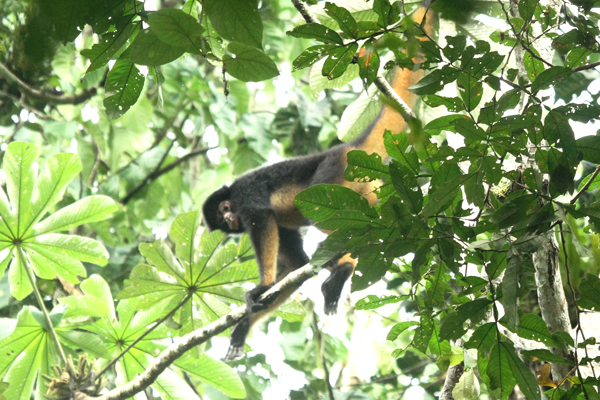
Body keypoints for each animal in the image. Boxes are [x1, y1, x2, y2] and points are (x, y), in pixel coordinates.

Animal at [204, 7, 434, 360]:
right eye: (221, 218)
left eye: (227, 208)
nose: (229, 218)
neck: (233, 194)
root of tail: (347, 147)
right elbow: (294, 265)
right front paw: (243, 327)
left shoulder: (245, 192)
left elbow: (261, 218)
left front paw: (262, 286)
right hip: (367, 189)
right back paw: (344, 269)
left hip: (334, 173)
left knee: (326, 217)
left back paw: (343, 268)